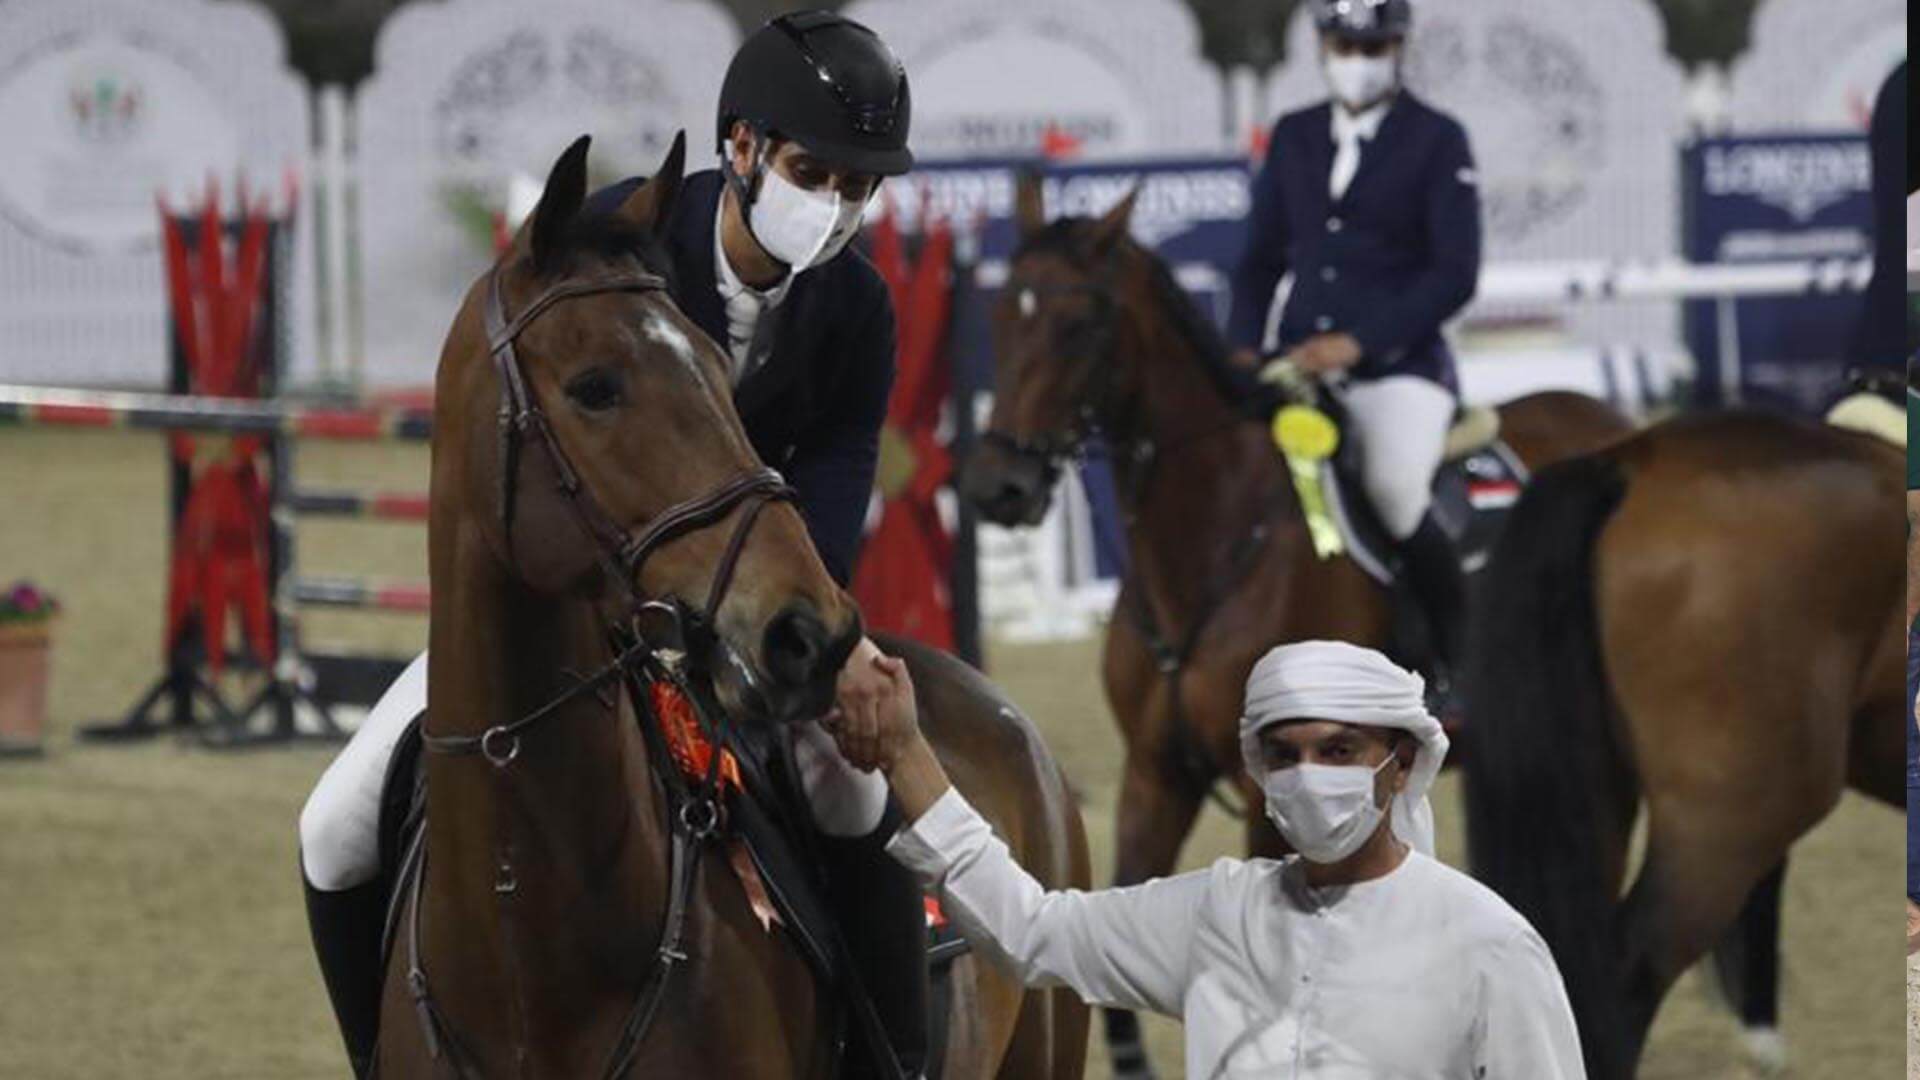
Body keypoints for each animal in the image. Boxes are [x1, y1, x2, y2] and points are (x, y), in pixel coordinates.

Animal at [960, 174, 1635, 1068]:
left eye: (1082, 324)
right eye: (1003, 317)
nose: (998, 487)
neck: (1215, 539)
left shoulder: (1261, 794)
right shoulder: (1155, 775)